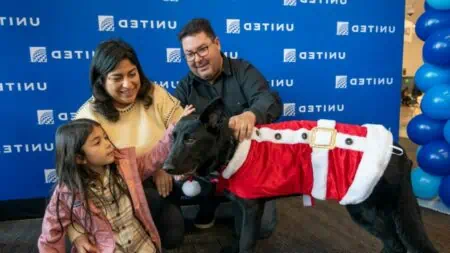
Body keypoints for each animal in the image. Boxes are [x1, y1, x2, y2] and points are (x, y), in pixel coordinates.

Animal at [163, 99, 438, 253]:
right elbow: (239, 235)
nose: (165, 167)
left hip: (364, 208)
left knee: (396, 244)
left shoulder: (252, 209)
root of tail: (398, 150)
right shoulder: (244, 207)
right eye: (173, 137)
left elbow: (246, 242)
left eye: (190, 139)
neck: (232, 148)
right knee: (394, 245)